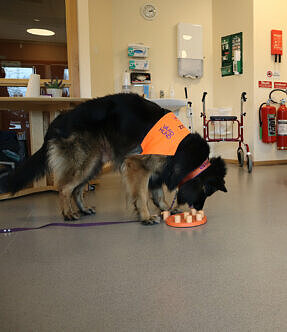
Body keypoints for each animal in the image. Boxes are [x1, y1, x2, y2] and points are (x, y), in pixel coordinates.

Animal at [1, 92, 227, 224]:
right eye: (206, 191)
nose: (198, 209)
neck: (181, 149)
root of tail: (57, 122)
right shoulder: (138, 166)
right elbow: (142, 195)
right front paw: (146, 216)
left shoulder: (157, 168)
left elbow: (157, 193)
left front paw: (164, 209)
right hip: (86, 163)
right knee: (64, 188)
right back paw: (68, 214)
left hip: (94, 164)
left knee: (77, 190)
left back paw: (83, 209)